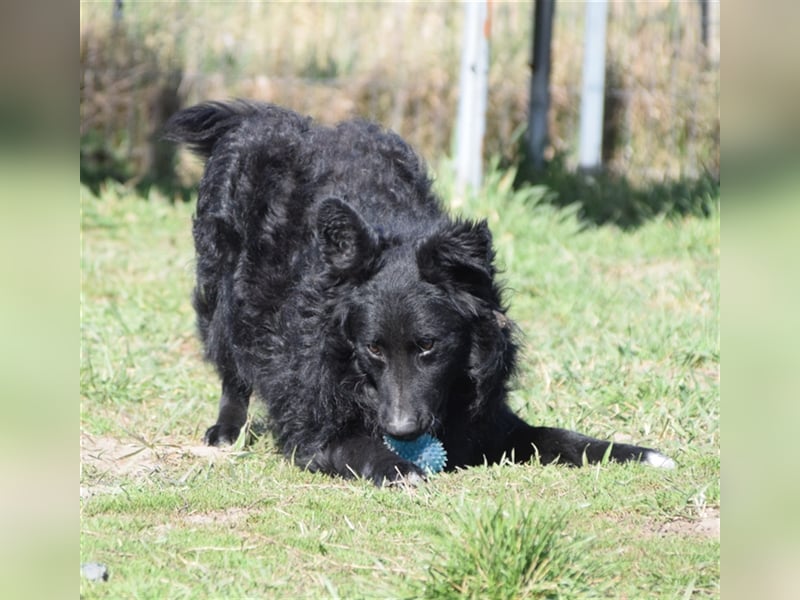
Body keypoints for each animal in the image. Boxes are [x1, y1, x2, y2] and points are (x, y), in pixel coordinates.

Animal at [164, 102, 676, 488]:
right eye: (372, 349)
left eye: (429, 346)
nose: (402, 430)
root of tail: (261, 117)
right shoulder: (311, 420)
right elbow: (350, 444)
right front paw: (398, 467)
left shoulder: (490, 420)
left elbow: (560, 437)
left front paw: (639, 453)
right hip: (220, 291)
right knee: (231, 362)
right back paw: (226, 430)